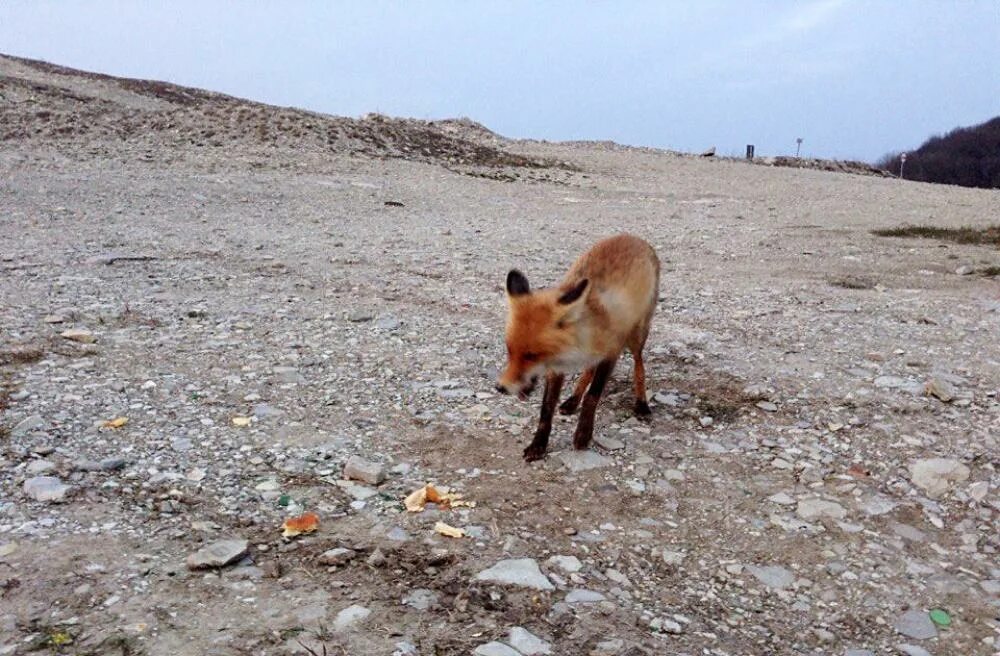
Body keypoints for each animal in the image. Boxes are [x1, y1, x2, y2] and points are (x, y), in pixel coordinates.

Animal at [496, 236, 660, 462]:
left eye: (532, 355)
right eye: (510, 351)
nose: (500, 388)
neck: (574, 350)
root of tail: (634, 237)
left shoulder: (611, 353)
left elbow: (592, 396)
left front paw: (583, 435)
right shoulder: (556, 367)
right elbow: (546, 409)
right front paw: (538, 444)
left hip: (636, 335)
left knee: (639, 366)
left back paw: (641, 403)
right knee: (588, 371)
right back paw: (573, 401)